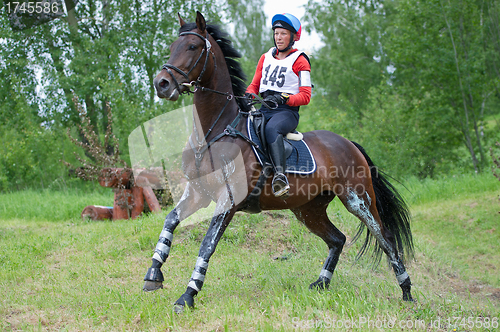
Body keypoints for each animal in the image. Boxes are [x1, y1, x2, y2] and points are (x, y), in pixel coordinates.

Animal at [142, 9, 414, 312]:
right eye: (172, 47)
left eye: (192, 46)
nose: (161, 84)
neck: (214, 133)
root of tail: (348, 143)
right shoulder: (197, 193)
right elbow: (170, 222)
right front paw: (153, 274)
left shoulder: (228, 202)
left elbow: (207, 245)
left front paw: (188, 295)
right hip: (308, 209)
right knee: (338, 239)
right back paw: (322, 283)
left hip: (358, 199)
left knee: (385, 238)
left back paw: (407, 292)